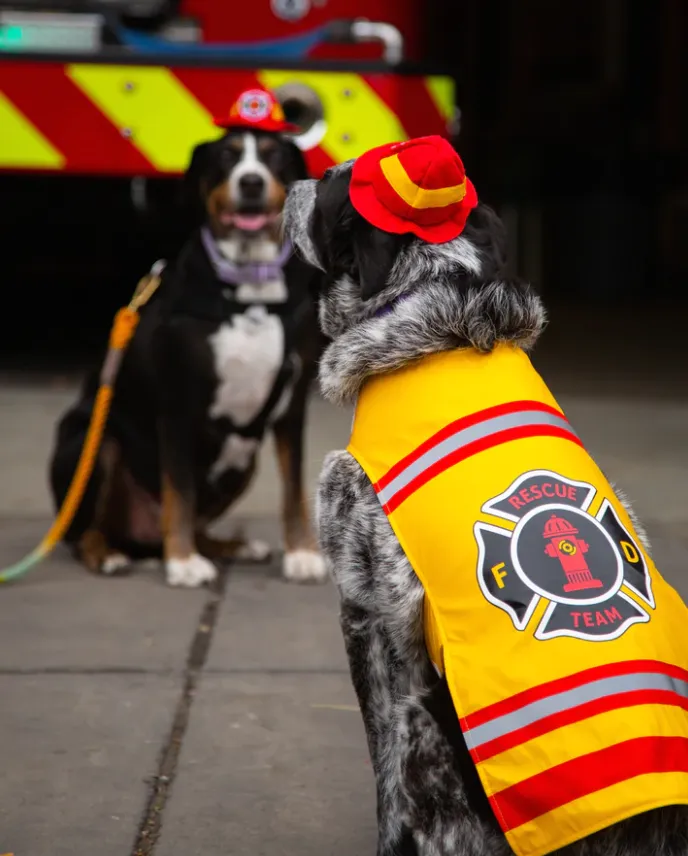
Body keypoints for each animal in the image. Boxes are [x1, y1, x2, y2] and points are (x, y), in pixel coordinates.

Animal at [49, 88, 328, 588]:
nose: (251, 183)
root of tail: (138, 536)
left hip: (242, 458)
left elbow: (293, 489)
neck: (250, 291)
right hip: (94, 443)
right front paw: (181, 564)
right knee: (87, 530)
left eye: (274, 156)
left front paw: (302, 555)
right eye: (227, 157)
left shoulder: (292, 405)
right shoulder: (178, 403)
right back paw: (112, 554)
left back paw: (230, 546)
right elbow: (178, 491)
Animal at [282, 137, 688, 852]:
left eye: (330, 181)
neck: (433, 299)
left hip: (426, 732)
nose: (292, 182)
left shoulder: (365, 611)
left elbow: (382, 773)